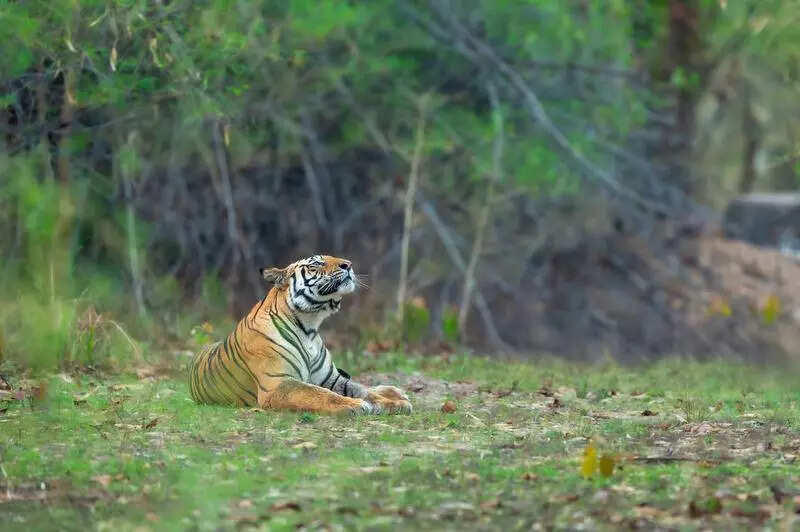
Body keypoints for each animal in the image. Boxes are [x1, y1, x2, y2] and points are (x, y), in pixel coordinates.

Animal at [188, 254, 412, 415]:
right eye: (317, 264)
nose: (348, 264)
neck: (309, 327)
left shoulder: (331, 378)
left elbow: (361, 389)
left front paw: (393, 403)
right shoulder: (277, 384)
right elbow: (318, 394)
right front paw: (355, 405)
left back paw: (397, 392)